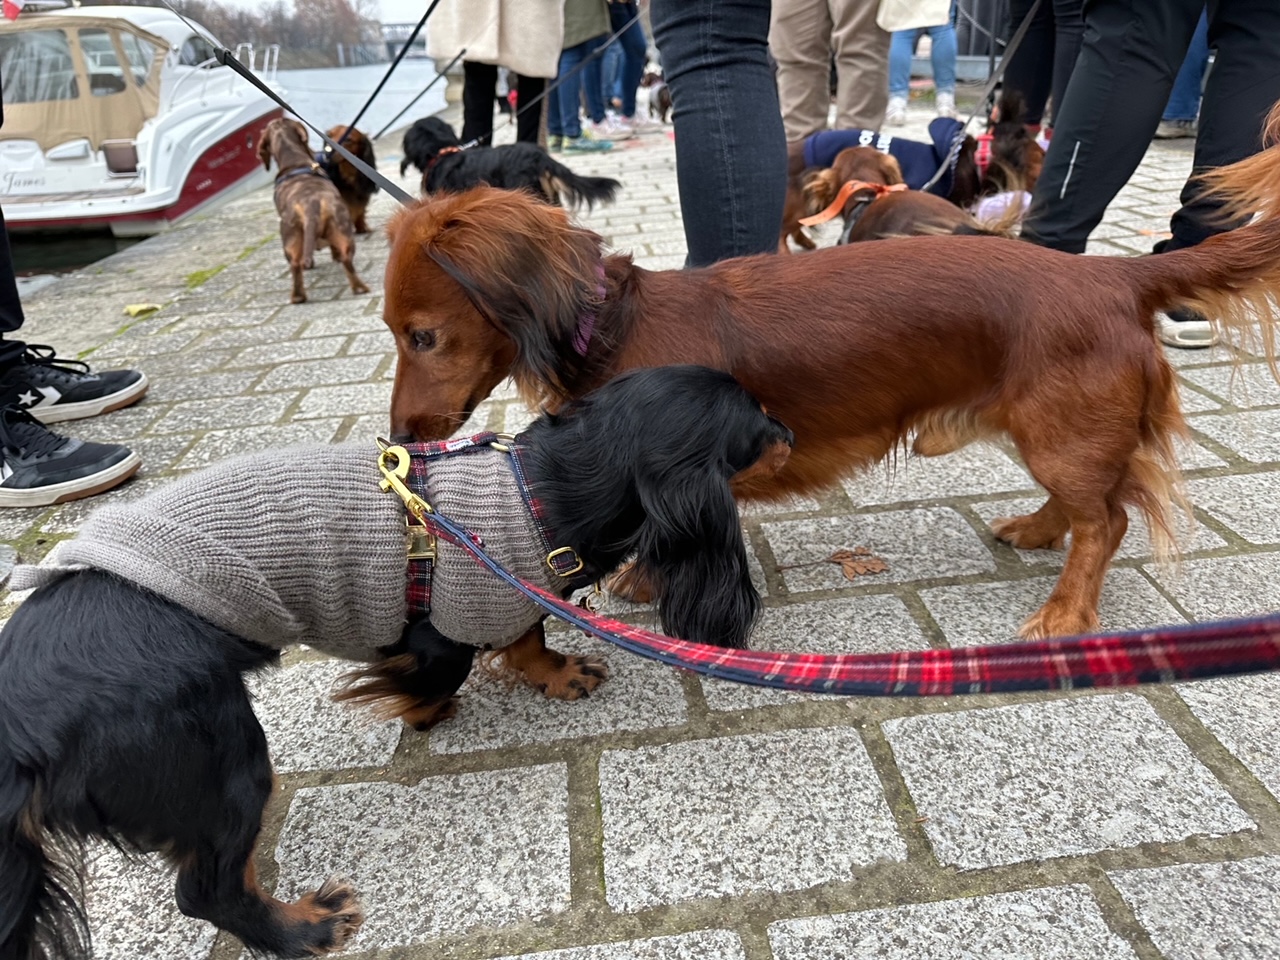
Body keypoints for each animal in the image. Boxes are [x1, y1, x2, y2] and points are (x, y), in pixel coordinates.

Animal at [2, 363, 788, 960]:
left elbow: (528, 635)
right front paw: (425, 711)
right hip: (222, 754)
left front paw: (557, 675)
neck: (538, 493)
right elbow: (448, 667)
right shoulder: (448, 618)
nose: (791, 431)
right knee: (206, 889)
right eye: (757, 422)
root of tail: (19, 731)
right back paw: (305, 928)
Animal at [257, 119, 371, 304]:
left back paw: (298, 296)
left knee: (297, 265)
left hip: (292, 238)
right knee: (345, 259)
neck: (294, 162)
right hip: (341, 231)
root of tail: (312, 203)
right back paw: (358, 288)